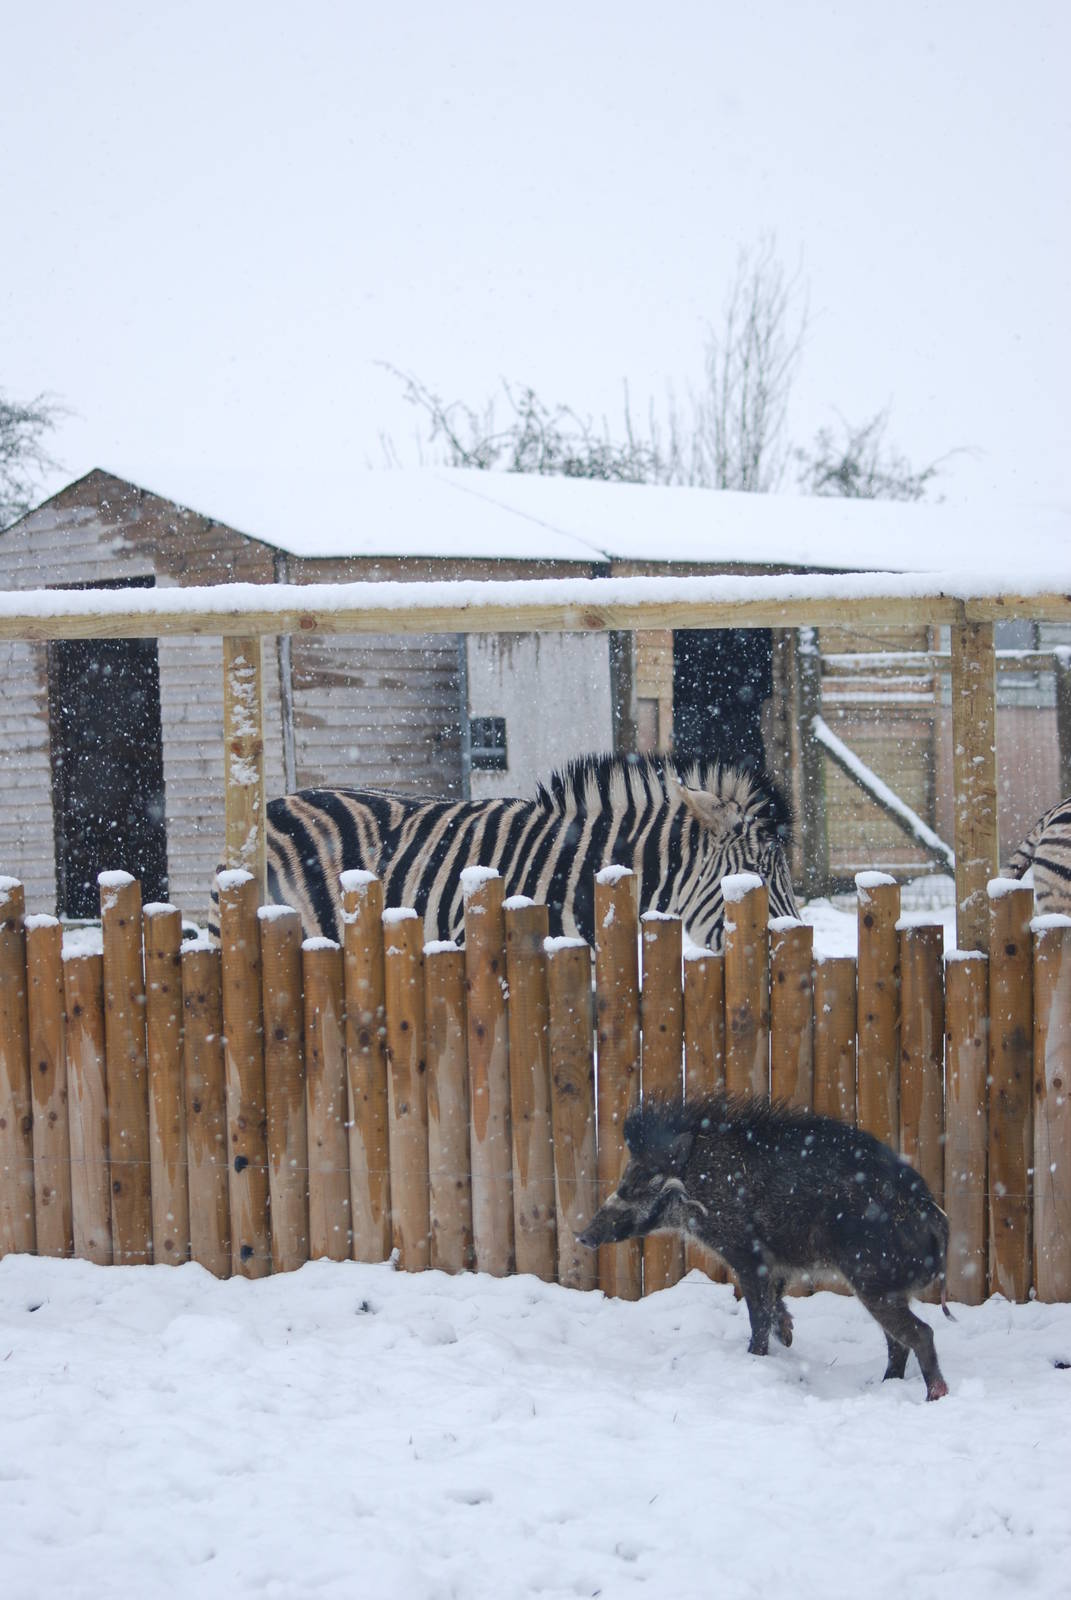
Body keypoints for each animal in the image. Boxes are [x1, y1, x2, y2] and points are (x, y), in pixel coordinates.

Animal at [578, 1094, 950, 1400]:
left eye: (641, 1185)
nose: (582, 1236)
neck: (701, 1178)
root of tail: (934, 1215)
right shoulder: (776, 1265)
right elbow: (774, 1305)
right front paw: (787, 1337)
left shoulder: (747, 1255)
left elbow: (758, 1314)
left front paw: (756, 1358)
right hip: (886, 1288)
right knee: (897, 1343)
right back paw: (884, 1385)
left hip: (874, 1282)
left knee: (922, 1333)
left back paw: (933, 1395)